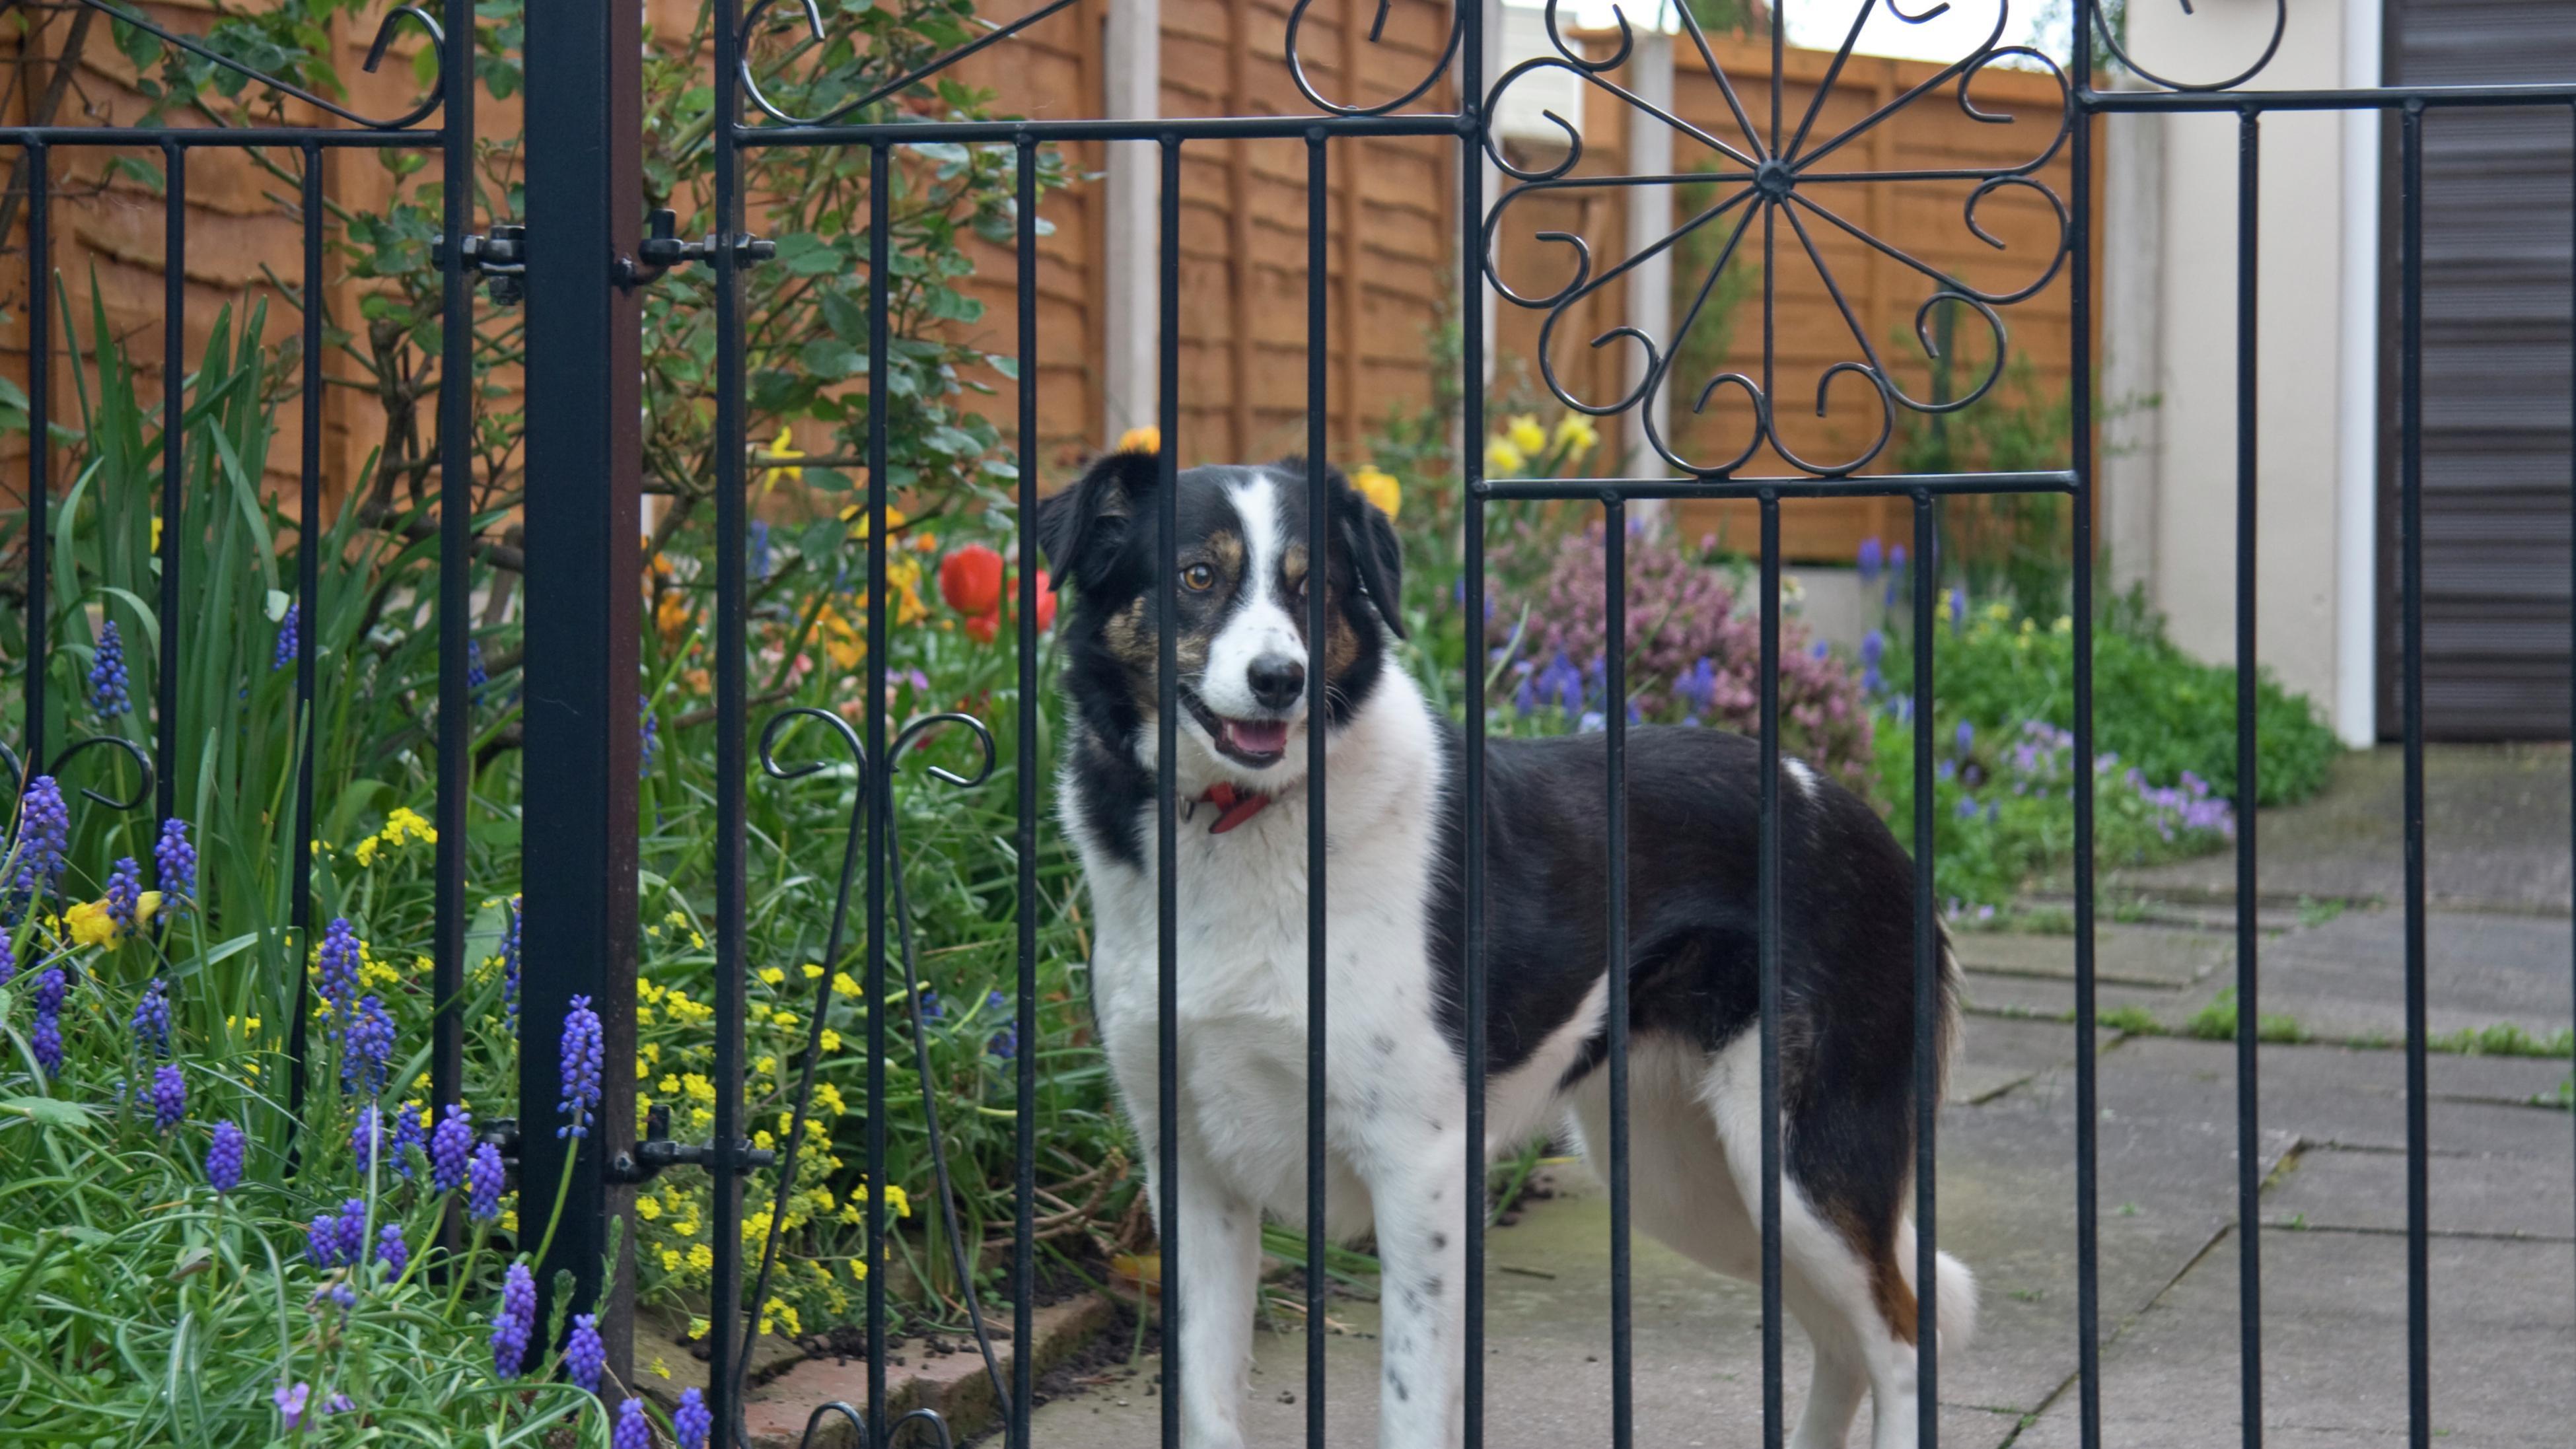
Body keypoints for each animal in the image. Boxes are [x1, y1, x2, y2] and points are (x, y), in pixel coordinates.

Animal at [1035, 455, 1958, 1449]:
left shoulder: (1420, 1167)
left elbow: (1408, 1405)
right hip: (1694, 1180)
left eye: (1312, 585)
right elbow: (1207, 1405)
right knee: (1842, 1338)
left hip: (1799, 1161)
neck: (1243, 819)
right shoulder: (1193, 1174)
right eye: (1197, 575)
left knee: (1904, 1339)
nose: (1281, 679)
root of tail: (1868, 823)